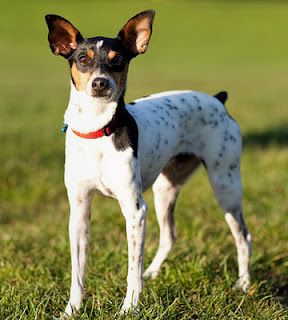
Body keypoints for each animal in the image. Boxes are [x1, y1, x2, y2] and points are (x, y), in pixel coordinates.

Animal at [45, 9, 252, 316]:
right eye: (82, 59)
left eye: (117, 60)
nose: (100, 83)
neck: (98, 130)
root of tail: (218, 100)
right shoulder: (79, 210)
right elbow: (78, 272)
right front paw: (72, 309)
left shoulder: (135, 210)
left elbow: (131, 269)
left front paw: (129, 308)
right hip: (165, 190)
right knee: (169, 236)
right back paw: (153, 272)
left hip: (225, 185)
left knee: (243, 236)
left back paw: (243, 283)